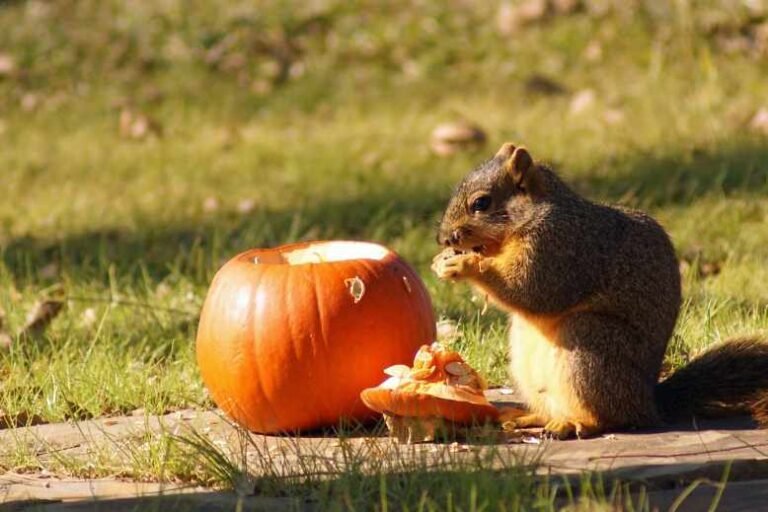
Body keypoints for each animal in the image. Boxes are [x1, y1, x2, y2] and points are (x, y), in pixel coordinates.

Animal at [431, 142, 768, 439]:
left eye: (481, 203)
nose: (444, 239)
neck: (536, 213)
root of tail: (648, 404)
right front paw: (443, 261)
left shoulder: (559, 248)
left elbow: (530, 289)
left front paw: (465, 265)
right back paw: (528, 416)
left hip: (590, 344)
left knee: (611, 417)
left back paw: (576, 424)